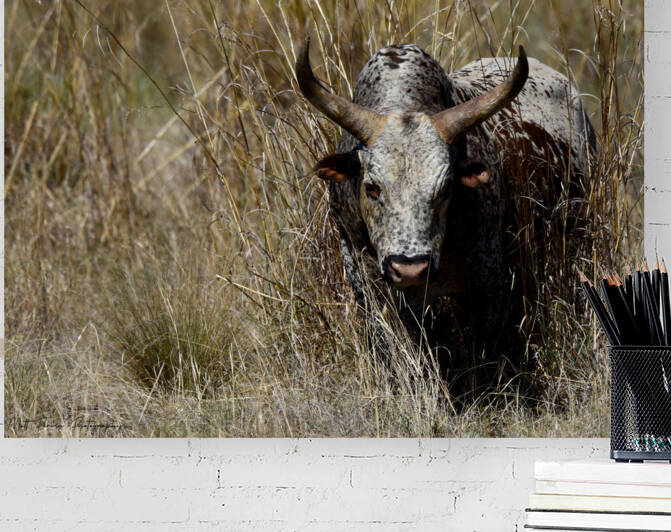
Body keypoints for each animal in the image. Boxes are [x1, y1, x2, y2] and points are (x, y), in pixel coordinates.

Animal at [296, 38, 595, 400]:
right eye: (372, 187)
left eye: (446, 187)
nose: (411, 268)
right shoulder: (368, 286)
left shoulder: (488, 284)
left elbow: (486, 356)